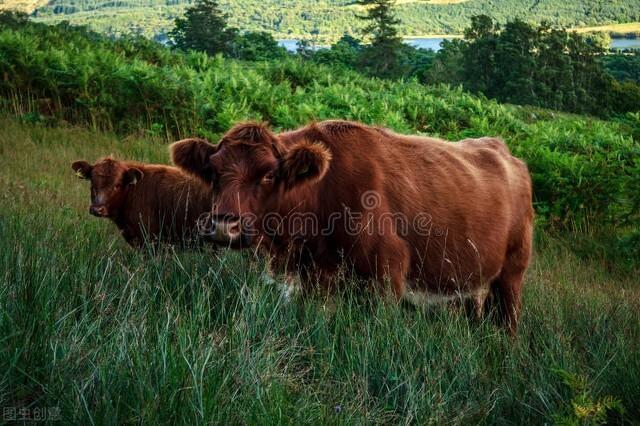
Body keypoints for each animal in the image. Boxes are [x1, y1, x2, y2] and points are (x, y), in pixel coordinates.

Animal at [170, 120, 536, 332]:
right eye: (213, 172)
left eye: (269, 174)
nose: (223, 226)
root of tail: (505, 152)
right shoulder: (315, 279)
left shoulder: (387, 276)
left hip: (511, 275)